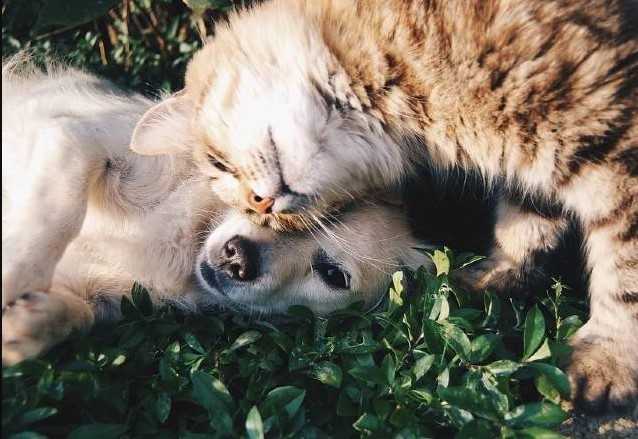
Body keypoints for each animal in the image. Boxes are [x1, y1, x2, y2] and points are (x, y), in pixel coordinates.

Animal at [0, 56, 432, 366]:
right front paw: (14, 274)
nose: (237, 258)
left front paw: (26, 325)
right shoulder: (74, 137)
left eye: (333, 275)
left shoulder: (105, 298)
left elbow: (78, 315)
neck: (188, 238)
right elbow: (56, 213)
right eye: (262, 200)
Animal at [131, 0, 638, 412]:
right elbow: (526, 225)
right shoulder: (535, 167)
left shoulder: (613, 144)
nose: (264, 203)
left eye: (218, 164)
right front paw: (494, 277)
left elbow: (624, 273)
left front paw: (608, 360)